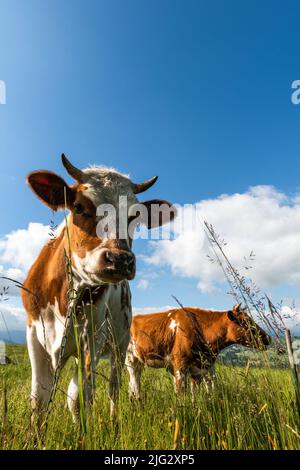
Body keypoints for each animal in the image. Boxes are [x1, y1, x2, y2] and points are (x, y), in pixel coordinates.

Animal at [21, 155, 176, 422]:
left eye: (134, 217)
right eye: (78, 207)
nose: (120, 259)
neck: (65, 296)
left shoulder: (91, 338)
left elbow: (78, 399)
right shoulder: (34, 335)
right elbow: (38, 401)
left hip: (120, 344)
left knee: (114, 387)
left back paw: (114, 421)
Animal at [125, 302, 270, 398]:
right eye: (246, 322)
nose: (268, 338)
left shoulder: (203, 367)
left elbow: (204, 390)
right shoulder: (180, 364)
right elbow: (181, 393)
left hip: (139, 362)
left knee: (132, 385)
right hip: (130, 360)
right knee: (134, 386)